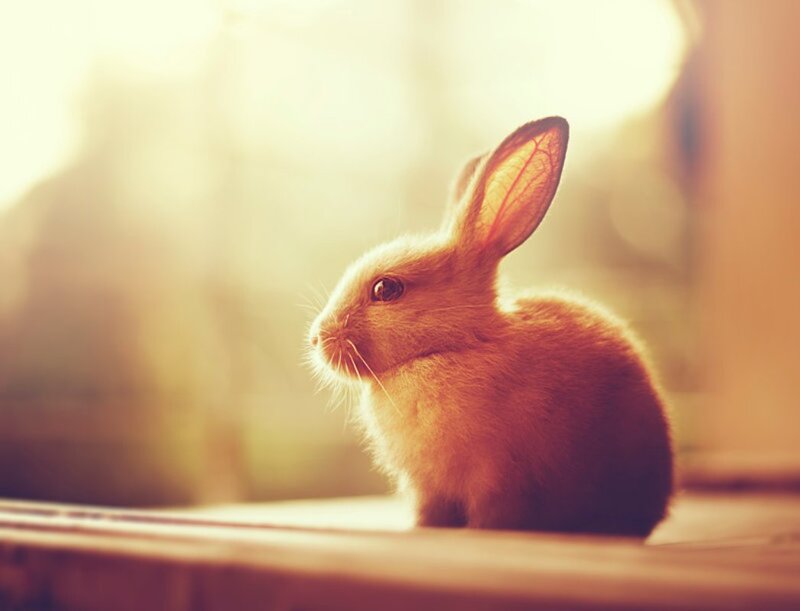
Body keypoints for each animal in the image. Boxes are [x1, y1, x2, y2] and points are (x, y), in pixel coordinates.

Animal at [307, 116, 674, 537]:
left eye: (386, 289)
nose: (316, 338)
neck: (452, 347)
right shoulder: (430, 490)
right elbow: (430, 515)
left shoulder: (500, 478)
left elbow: (493, 514)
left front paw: (479, 533)